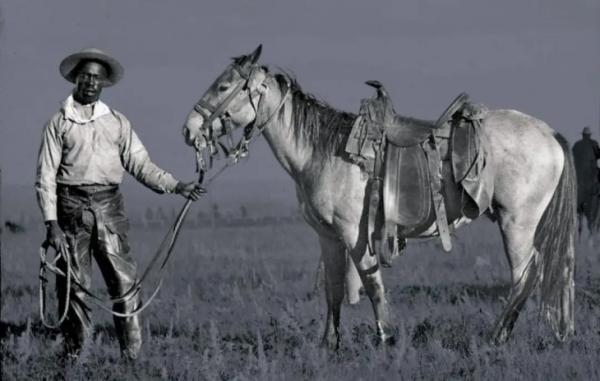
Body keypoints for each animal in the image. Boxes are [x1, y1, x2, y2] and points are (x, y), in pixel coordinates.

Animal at [182, 45, 576, 348]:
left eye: (224, 85)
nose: (189, 130)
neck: (321, 151)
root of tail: (551, 134)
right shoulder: (328, 235)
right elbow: (334, 288)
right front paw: (329, 343)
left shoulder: (355, 234)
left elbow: (372, 285)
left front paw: (385, 336)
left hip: (517, 223)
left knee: (525, 275)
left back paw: (498, 336)